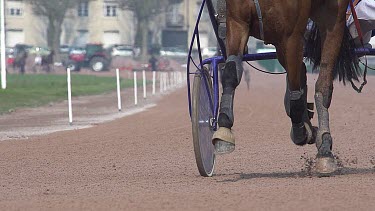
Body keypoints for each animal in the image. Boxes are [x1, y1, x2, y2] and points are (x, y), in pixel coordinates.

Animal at [212, 0, 362, 175]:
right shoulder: (238, 21)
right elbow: (230, 72)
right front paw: (224, 129)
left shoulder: (291, 34)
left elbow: (295, 90)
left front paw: (300, 131)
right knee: (299, 70)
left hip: (331, 16)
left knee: (323, 84)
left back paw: (324, 149)